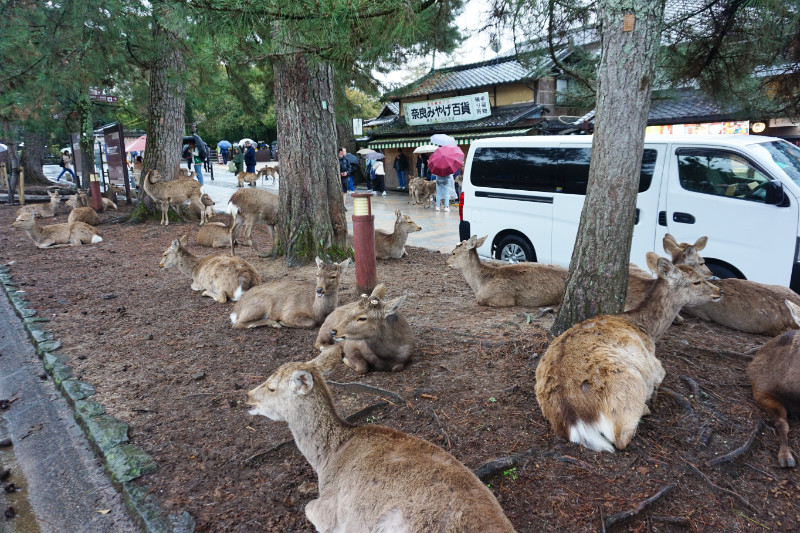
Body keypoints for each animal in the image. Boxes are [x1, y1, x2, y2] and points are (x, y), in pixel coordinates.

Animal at [535, 252, 722, 452]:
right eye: (696, 281)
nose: (719, 291)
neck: (649, 330)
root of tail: (574, 419)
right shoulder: (655, 365)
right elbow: (662, 373)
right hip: (629, 387)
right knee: (621, 438)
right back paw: (645, 409)